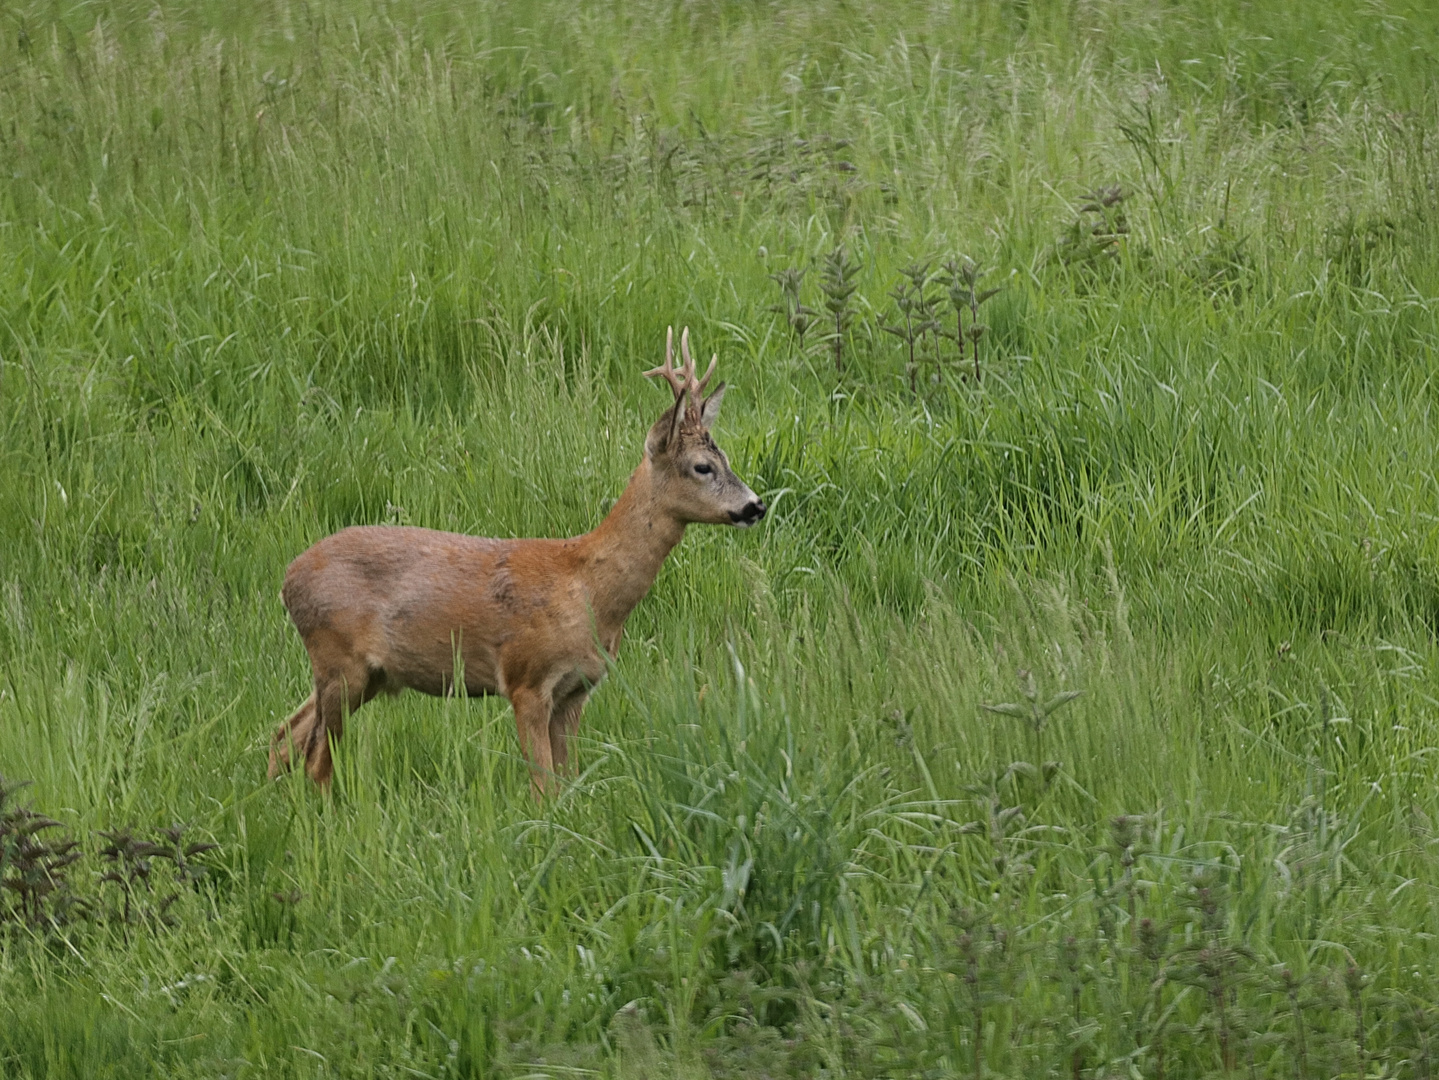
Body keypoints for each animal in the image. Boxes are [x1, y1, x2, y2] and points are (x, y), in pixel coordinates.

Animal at [269, 329, 765, 793]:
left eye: (726, 457)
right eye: (702, 466)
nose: (755, 505)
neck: (588, 590)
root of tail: (287, 580)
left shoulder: (577, 690)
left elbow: (568, 782)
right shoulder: (526, 678)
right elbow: (543, 786)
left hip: (365, 674)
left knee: (285, 734)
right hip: (338, 659)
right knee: (316, 759)